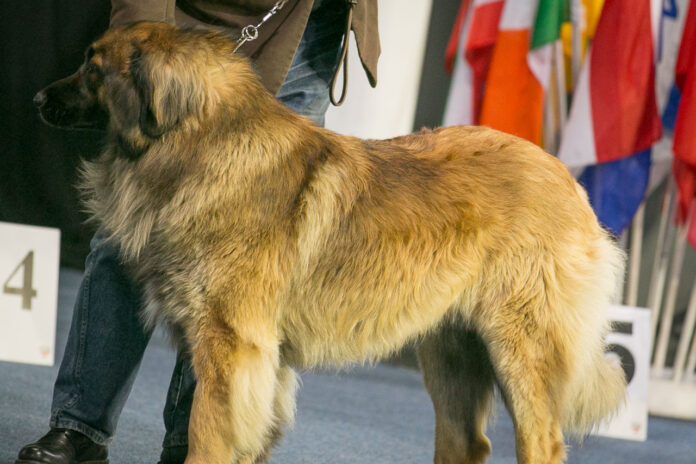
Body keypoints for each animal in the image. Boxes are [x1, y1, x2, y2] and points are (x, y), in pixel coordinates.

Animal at [35, 23, 628, 464]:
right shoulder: (259, 358)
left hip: (520, 348)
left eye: (93, 68)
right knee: (465, 441)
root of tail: (567, 178)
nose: (38, 97)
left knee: (542, 441)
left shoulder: (232, 344)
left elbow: (207, 433)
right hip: (451, 349)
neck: (197, 143)